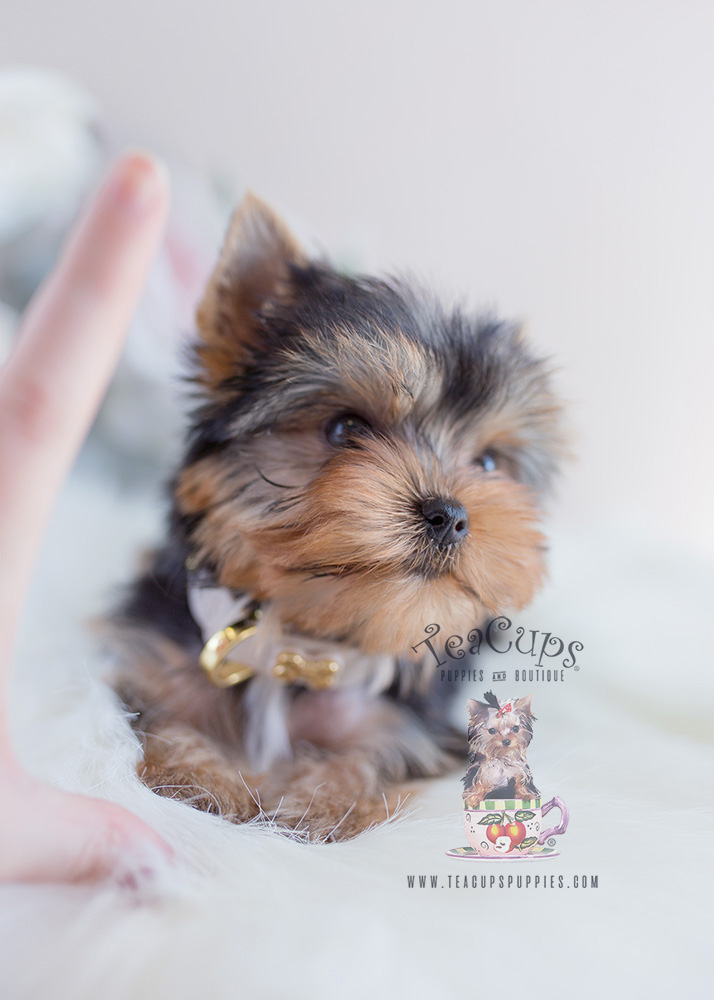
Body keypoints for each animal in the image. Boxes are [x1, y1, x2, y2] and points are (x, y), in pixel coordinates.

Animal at [105, 193, 560, 836]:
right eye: (346, 429)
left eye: (490, 462)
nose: (449, 514)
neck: (301, 647)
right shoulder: (158, 662)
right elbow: (171, 718)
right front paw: (203, 779)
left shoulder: (398, 725)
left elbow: (365, 759)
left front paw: (316, 805)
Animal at [454, 696, 572, 860]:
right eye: (492, 730)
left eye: (515, 728)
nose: (506, 741)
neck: (501, 758)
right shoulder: (480, 771)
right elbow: (480, 784)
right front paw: (474, 797)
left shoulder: (519, 772)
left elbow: (520, 784)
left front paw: (526, 795)